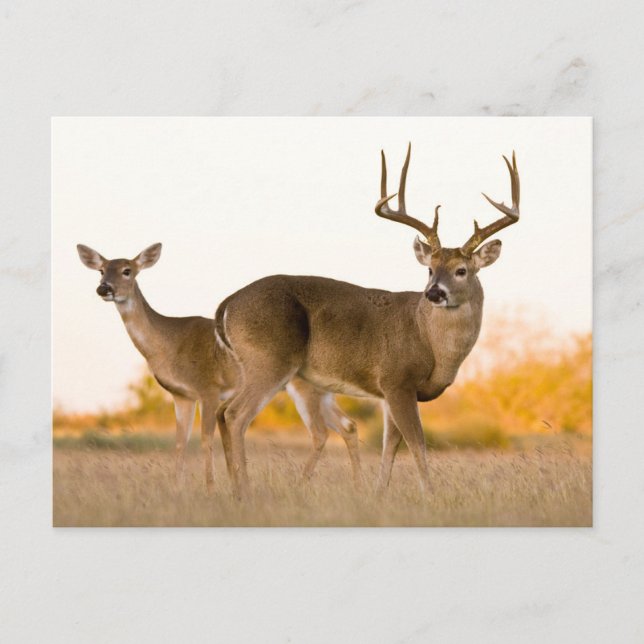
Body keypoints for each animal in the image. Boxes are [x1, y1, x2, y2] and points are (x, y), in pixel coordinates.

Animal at [76, 243, 362, 493]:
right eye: (102, 269)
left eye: (127, 270)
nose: (104, 288)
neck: (166, 343)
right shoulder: (181, 395)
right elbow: (180, 443)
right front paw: (177, 489)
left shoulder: (208, 388)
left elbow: (205, 439)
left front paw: (211, 489)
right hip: (322, 390)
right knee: (347, 425)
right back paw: (356, 487)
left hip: (301, 387)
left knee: (320, 432)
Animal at [214, 144, 520, 498]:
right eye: (430, 269)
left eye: (461, 270)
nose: (433, 292)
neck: (430, 342)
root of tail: (227, 305)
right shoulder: (397, 379)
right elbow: (417, 443)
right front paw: (429, 495)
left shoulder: (388, 392)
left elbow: (391, 446)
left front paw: (378, 494)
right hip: (270, 361)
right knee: (236, 415)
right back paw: (245, 491)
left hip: (252, 366)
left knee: (222, 412)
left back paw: (232, 488)